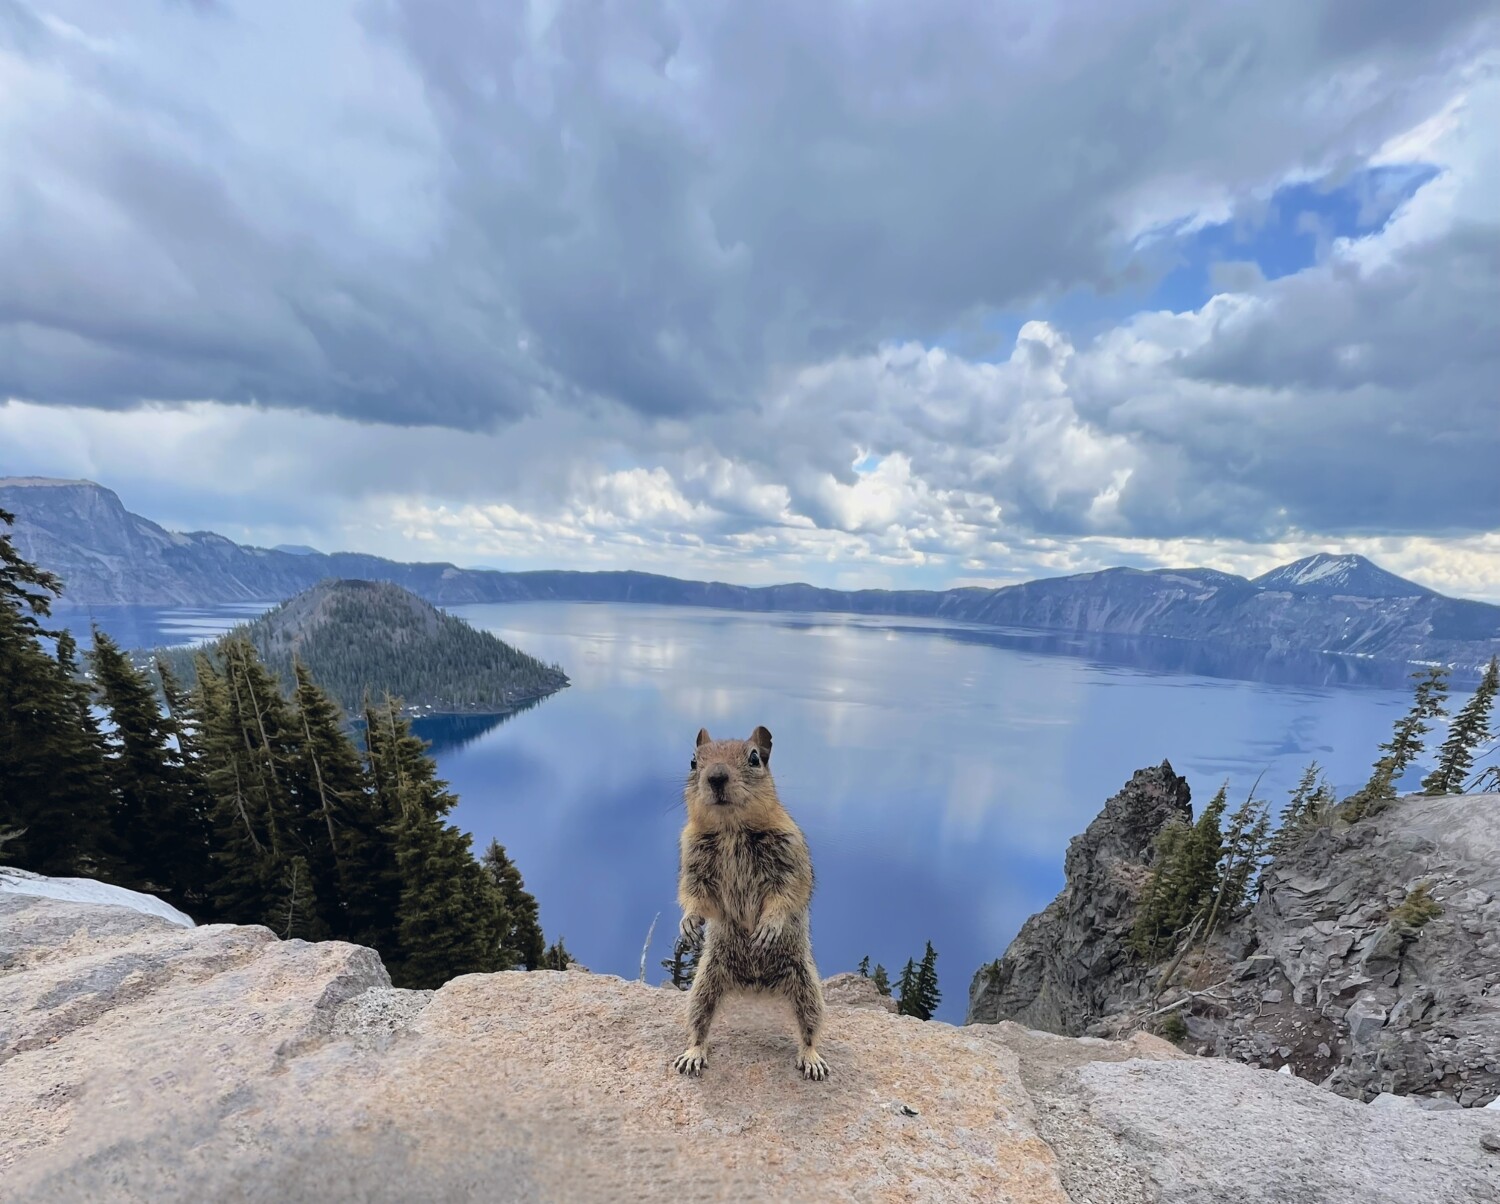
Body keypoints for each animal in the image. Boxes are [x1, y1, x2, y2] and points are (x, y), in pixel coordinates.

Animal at [672, 725, 829, 1081]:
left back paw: (812, 1058)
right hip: (705, 982)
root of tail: (756, 986)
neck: (731, 828)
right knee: (699, 1021)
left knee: (809, 1027)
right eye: (693, 761)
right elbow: (693, 892)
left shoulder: (789, 854)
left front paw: (768, 926)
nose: (716, 776)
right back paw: (693, 1053)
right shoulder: (693, 856)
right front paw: (688, 923)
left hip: (806, 985)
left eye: (754, 757)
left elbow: (788, 892)